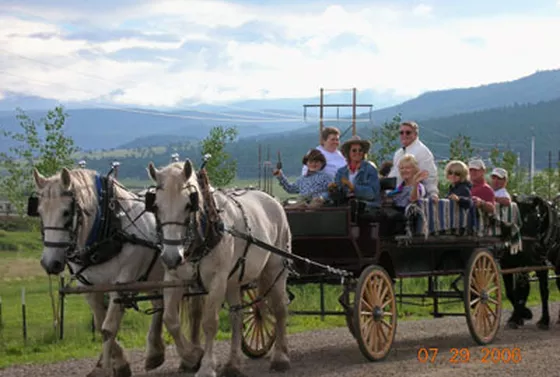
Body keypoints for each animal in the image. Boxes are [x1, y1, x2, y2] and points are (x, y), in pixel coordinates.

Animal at [30, 167, 202, 376]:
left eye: (66, 212)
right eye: (39, 212)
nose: (50, 263)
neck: (109, 225)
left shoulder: (121, 283)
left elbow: (109, 327)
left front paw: (110, 367)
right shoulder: (89, 287)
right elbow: (99, 323)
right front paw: (113, 363)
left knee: (192, 311)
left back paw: (190, 354)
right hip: (152, 277)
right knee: (159, 306)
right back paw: (155, 353)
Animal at [147, 160, 290, 376]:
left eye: (188, 205)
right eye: (155, 206)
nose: (171, 257)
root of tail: (273, 200)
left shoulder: (217, 279)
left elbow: (209, 323)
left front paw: (206, 366)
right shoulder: (174, 278)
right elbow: (170, 319)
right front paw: (191, 357)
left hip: (275, 268)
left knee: (280, 308)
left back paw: (280, 357)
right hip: (232, 281)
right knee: (236, 317)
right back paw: (233, 364)